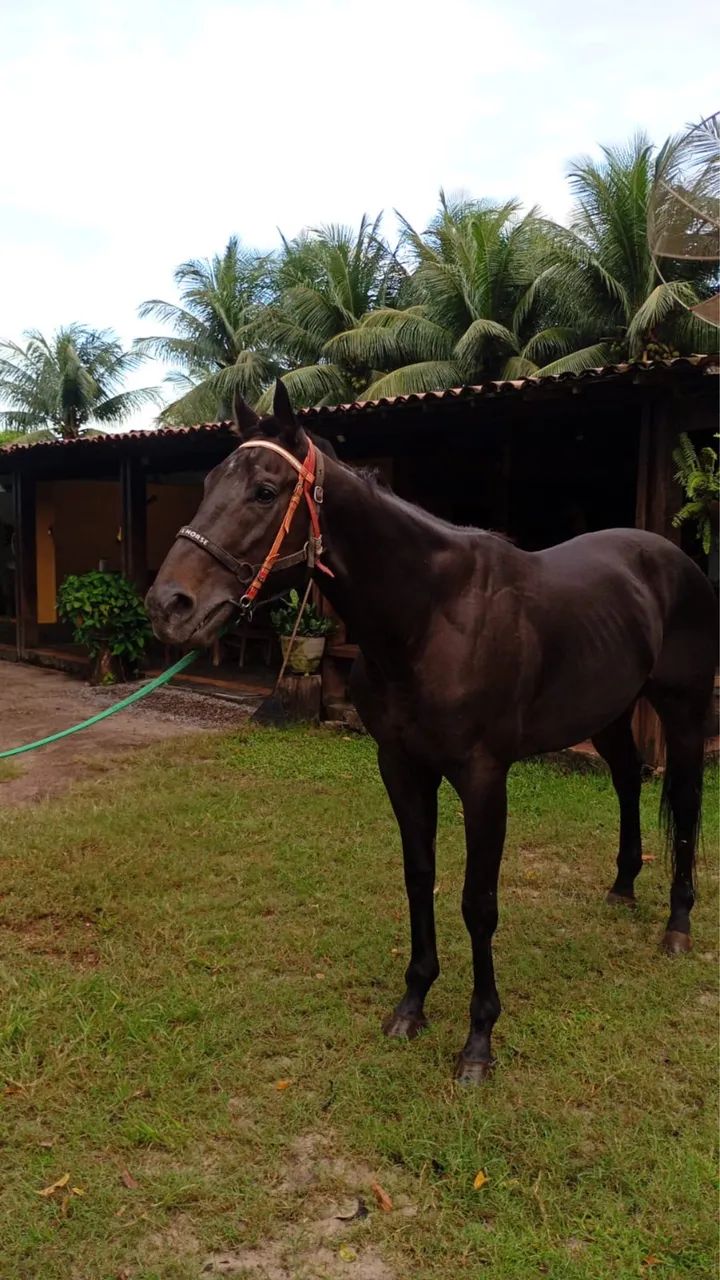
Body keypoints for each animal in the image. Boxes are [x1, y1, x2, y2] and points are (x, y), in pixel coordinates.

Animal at [146, 380, 717, 1083]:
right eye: (206, 482)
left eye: (265, 490)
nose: (169, 606)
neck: (432, 615)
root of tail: (676, 561)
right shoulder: (400, 765)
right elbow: (419, 877)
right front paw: (412, 1004)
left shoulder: (483, 778)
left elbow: (478, 902)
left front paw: (478, 1041)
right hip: (610, 713)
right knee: (629, 784)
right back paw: (622, 889)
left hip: (684, 711)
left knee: (685, 803)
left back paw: (678, 924)